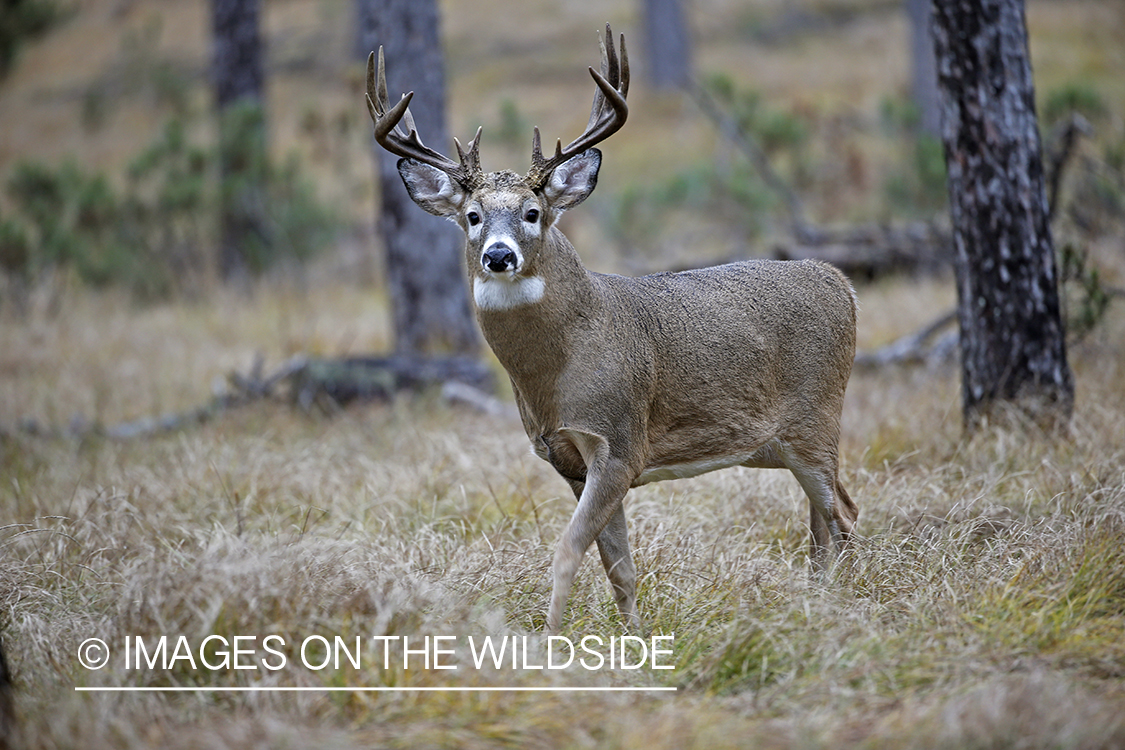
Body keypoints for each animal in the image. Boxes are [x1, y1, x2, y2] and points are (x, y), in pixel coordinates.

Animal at [364, 24, 855, 634]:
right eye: (472, 216)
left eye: (532, 212)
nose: (498, 256)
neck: (560, 370)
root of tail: (840, 279)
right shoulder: (570, 461)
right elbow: (619, 566)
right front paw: (633, 638)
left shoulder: (620, 442)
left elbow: (567, 550)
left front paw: (551, 639)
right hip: (783, 443)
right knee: (825, 519)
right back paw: (819, 600)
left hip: (817, 416)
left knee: (843, 517)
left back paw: (847, 604)